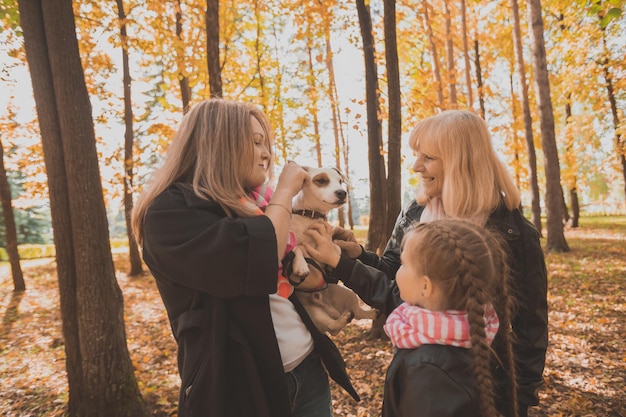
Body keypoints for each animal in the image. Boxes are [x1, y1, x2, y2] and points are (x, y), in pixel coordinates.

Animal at [282, 166, 376, 334]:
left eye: (340, 181)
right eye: (321, 180)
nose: (342, 192)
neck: (312, 217)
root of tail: (328, 308)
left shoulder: (330, 236)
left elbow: (336, 245)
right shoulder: (288, 243)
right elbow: (298, 248)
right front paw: (301, 266)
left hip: (346, 292)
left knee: (357, 313)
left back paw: (370, 313)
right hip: (313, 314)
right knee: (333, 325)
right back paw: (344, 318)